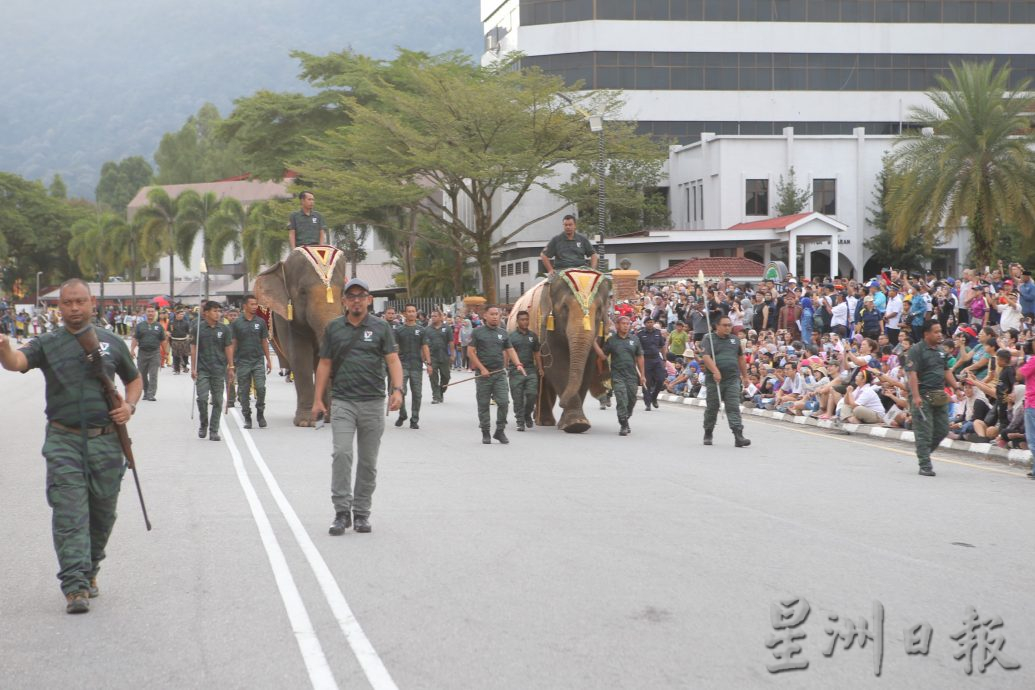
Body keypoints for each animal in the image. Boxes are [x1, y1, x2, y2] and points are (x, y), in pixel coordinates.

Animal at [253, 243, 347, 426]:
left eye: (342, 293)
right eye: (303, 292)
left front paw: (328, 418)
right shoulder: (287, 320)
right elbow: (299, 356)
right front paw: (305, 422)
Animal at [505, 268, 608, 434]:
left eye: (599, 310)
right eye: (565, 307)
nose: (562, 404)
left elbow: (586, 369)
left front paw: (578, 423)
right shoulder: (546, 325)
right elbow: (556, 366)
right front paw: (575, 424)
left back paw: (542, 419)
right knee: (540, 381)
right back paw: (543, 421)